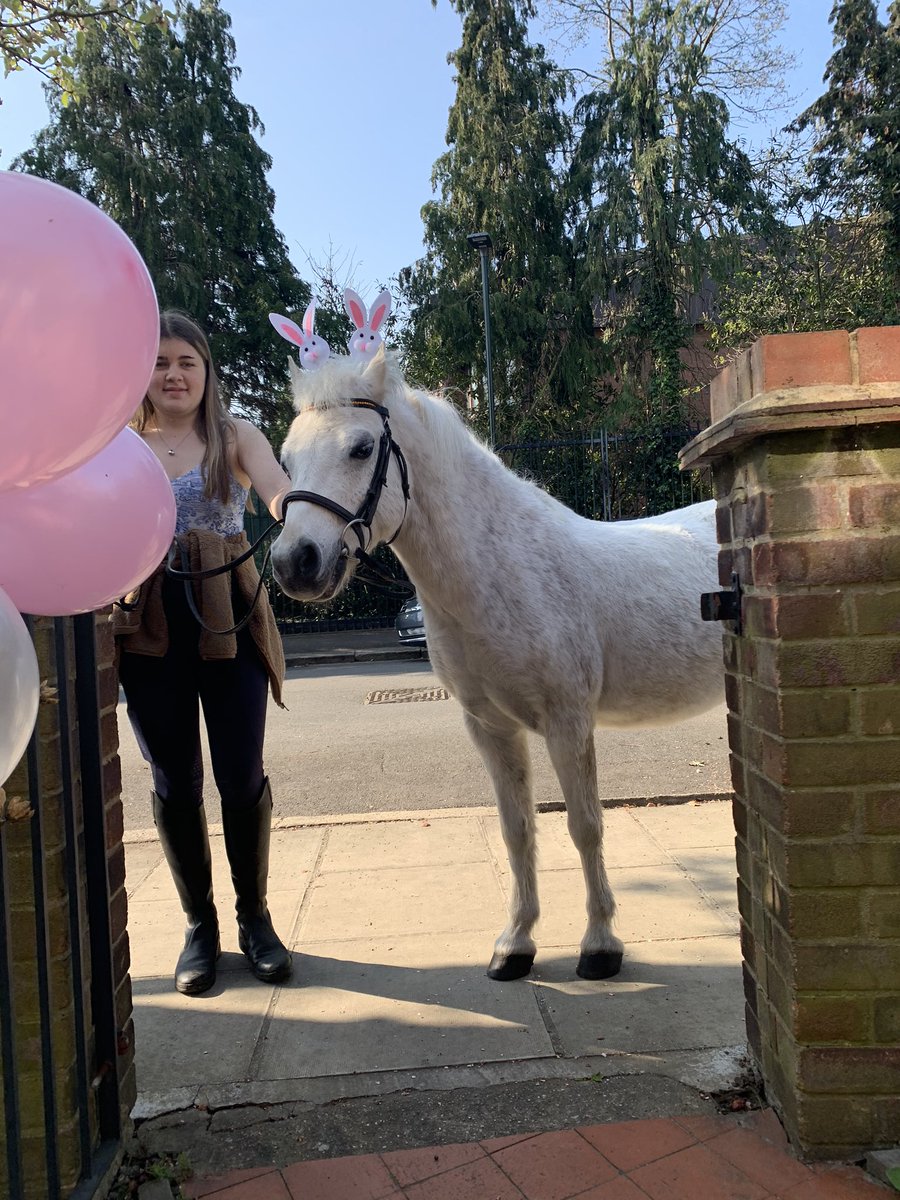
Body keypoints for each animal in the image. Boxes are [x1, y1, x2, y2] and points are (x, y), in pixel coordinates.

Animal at [271, 347, 725, 982]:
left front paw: (600, 944)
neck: (500, 572)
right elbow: (518, 830)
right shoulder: (490, 726)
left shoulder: (568, 722)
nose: (295, 563)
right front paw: (516, 944)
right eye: (286, 460)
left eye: (360, 448)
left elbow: (585, 826)